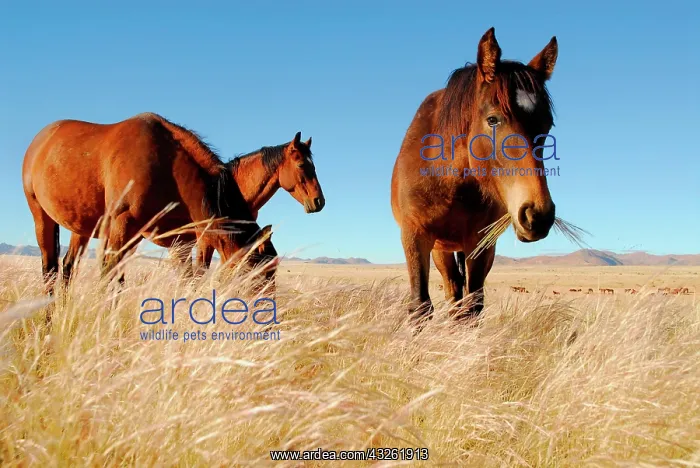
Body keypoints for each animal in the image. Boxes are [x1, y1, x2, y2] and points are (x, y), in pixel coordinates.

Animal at [22, 112, 279, 296]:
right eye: (256, 278)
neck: (168, 166)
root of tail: (40, 140)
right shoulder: (122, 226)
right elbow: (110, 278)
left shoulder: (176, 241)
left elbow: (187, 282)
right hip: (40, 217)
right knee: (49, 270)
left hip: (82, 228)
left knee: (67, 268)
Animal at [390, 27, 559, 324]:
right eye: (492, 119)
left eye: (546, 125)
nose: (538, 215)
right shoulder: (414, 235)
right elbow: (420, 305)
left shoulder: (480, 244)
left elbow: (471, 309)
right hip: (442, 250)